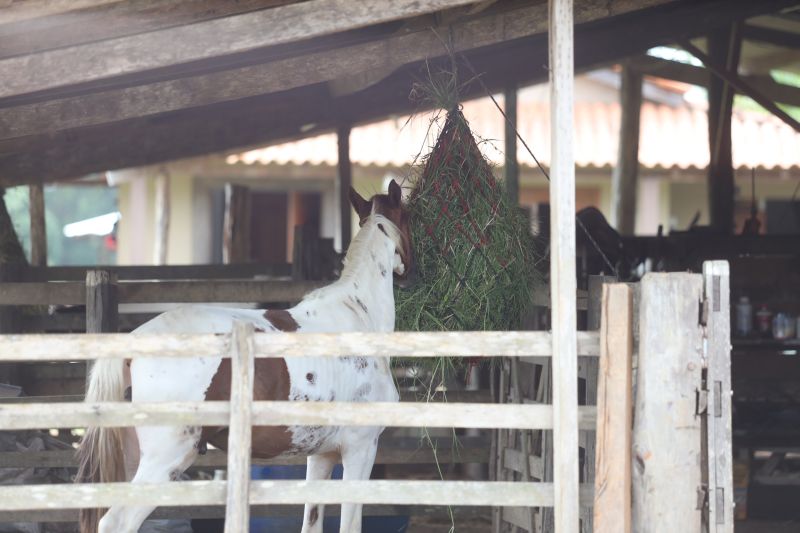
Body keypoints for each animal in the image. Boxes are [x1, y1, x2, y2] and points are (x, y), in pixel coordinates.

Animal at [77, 181, 416, 532]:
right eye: (408, 217)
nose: (411, 273)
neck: (358, 315)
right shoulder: (360, 449)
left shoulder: (322, 456)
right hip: (165, 462)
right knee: (116, 521)